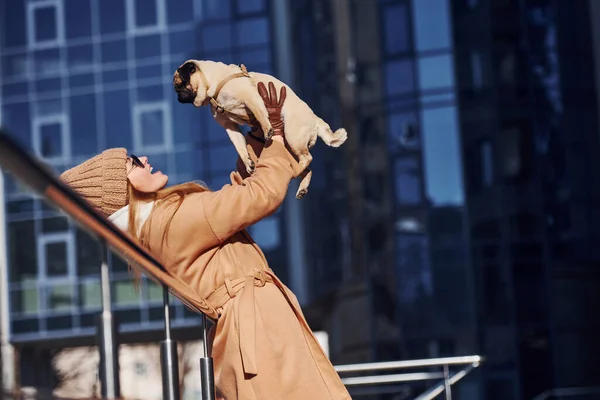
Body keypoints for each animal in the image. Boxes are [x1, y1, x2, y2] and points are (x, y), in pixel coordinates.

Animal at [171, 58, 346, 199]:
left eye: (180, 84)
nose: (177, 96)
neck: (214, 84)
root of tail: (316, 120)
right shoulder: (229, 126)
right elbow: (240, 147)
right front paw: (248, 162)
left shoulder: (251, 97)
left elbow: (260, 114)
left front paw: (267, 128)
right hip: (289, 149)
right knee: (306, 168)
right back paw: (301, 184)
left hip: (293, 136)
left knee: (307, 158)